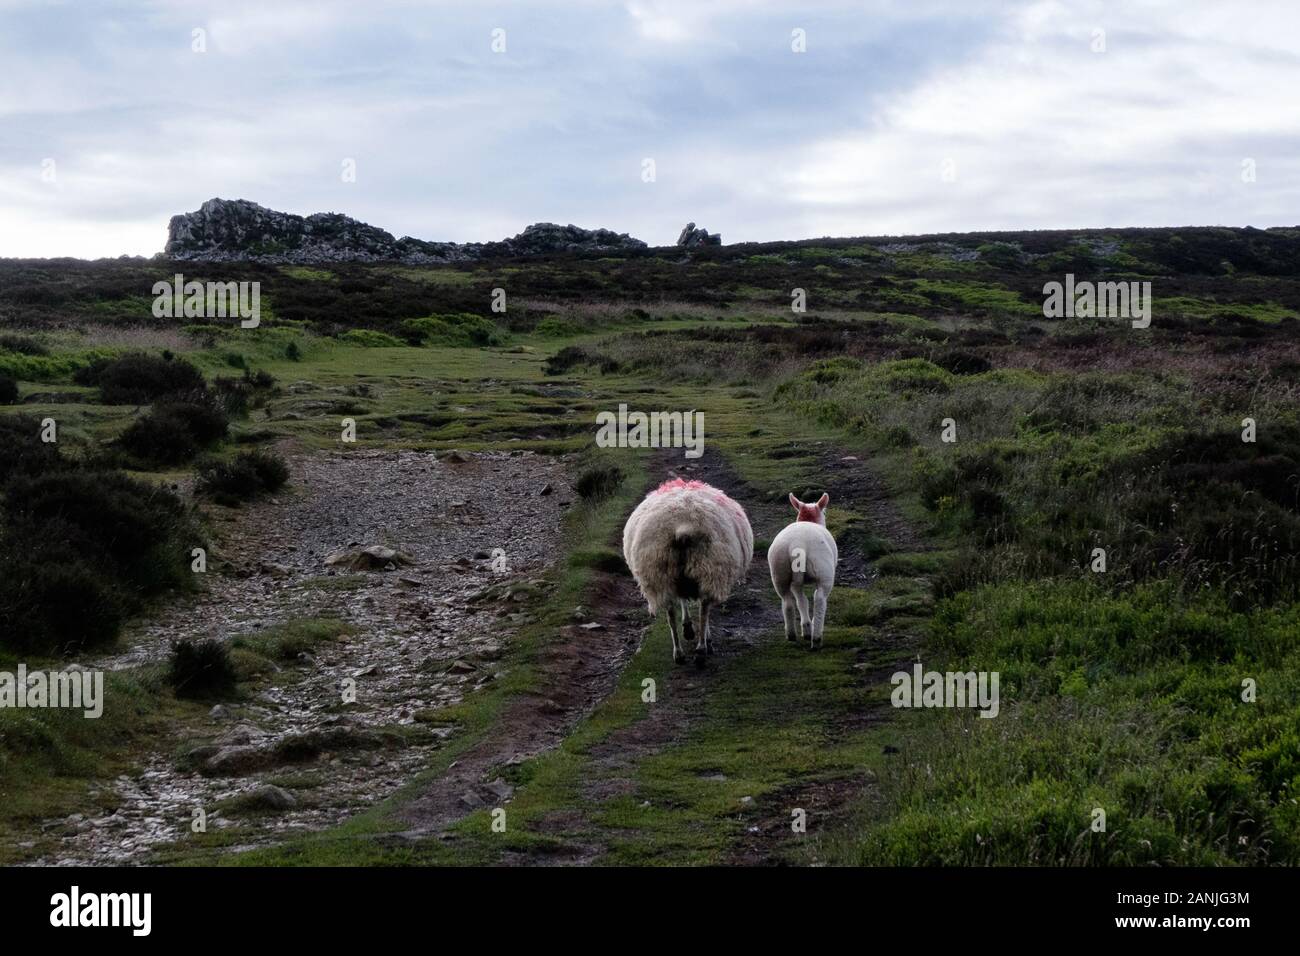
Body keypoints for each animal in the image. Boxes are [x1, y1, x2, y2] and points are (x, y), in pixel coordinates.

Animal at [618, 476, 754, 665]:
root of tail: (683, 527)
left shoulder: (679, 579)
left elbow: (682, 600)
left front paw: (688, 628)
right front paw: (701, 635)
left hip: (660, 573)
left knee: (670, 613)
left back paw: (679, 652)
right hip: (710, 568)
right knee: (704, 608)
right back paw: (702, 648)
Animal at [764, 494, 837, 650]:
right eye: (824, 512)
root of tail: (797, 544)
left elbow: (801, 600)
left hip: (779, 570)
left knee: (788, 601)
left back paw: (793, 634)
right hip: (823, 570)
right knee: (819, 599)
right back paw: (816, 638)